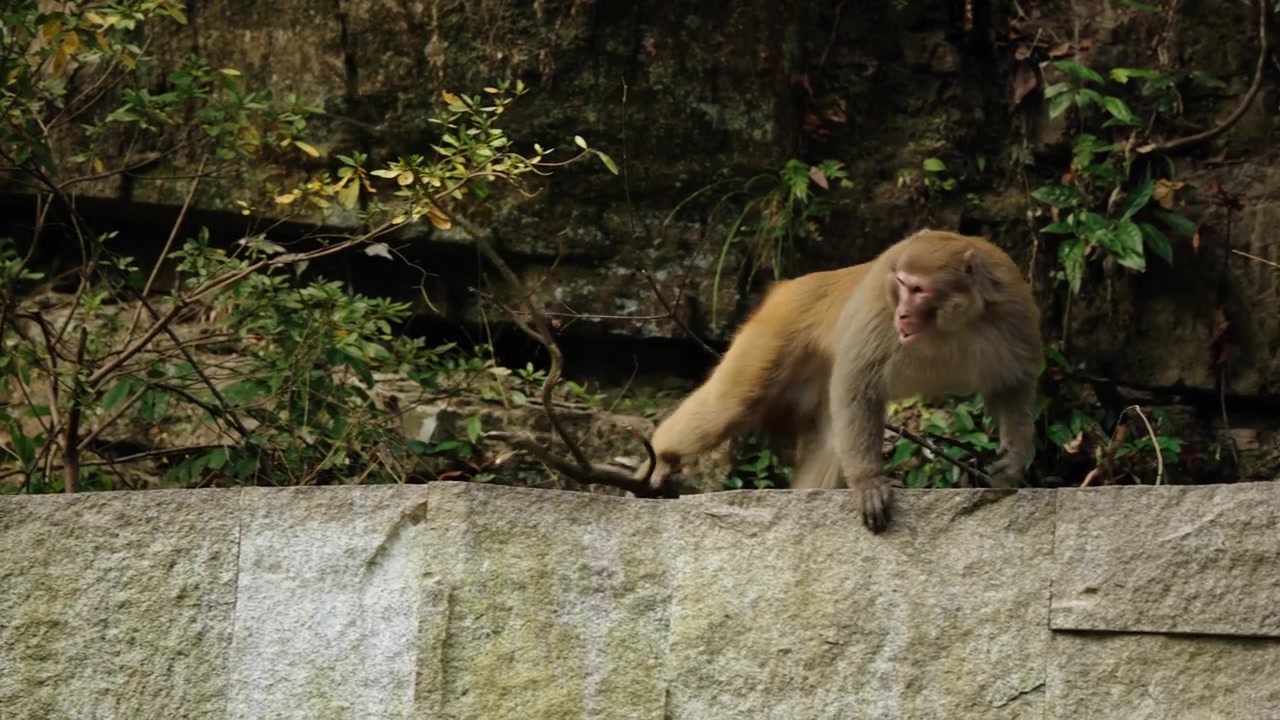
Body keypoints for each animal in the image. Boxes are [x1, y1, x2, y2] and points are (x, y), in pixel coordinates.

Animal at [637, 229, 1042, 533]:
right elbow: (859, 381)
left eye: (919, 289)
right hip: (778, 326)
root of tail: (796, 284)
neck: (948, 324)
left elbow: (1013, 385)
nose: (903, 313)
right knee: (732, 402)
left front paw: (1011, 463)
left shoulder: (1015, 312)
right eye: (902, 285)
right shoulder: (879, 309)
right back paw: (660, 457)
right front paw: (867, 481)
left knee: (831, 440)